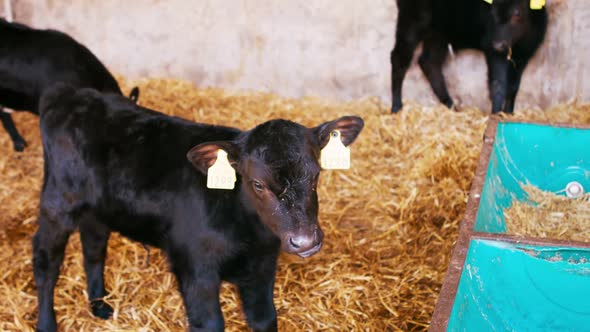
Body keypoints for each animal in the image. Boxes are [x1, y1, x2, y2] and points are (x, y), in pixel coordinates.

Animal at [33, 85, 366, 332]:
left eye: (316, 174)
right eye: (257, 184)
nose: (305, 241)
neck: (248, 234)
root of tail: (68, 95)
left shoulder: (262, 267)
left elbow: (264, 319)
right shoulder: (194, 267)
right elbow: (210, 324)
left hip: (96, 208)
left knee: (93, 246)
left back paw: (99, 305)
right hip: (57, 203)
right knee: (46, 262)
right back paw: (47, 323)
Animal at [394, 0, 552, 114]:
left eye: (517, 14)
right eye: (492, 12)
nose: (498, 43)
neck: (519, 43)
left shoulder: (524, 56)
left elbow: (513, 87)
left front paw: (508, 113)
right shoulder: (492, 50)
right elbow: (498, 85)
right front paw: (495, 115)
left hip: (438, 33)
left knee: (429, 62)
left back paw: (452, 107)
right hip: (411, 21)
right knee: (399, 58)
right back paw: (396, 107)